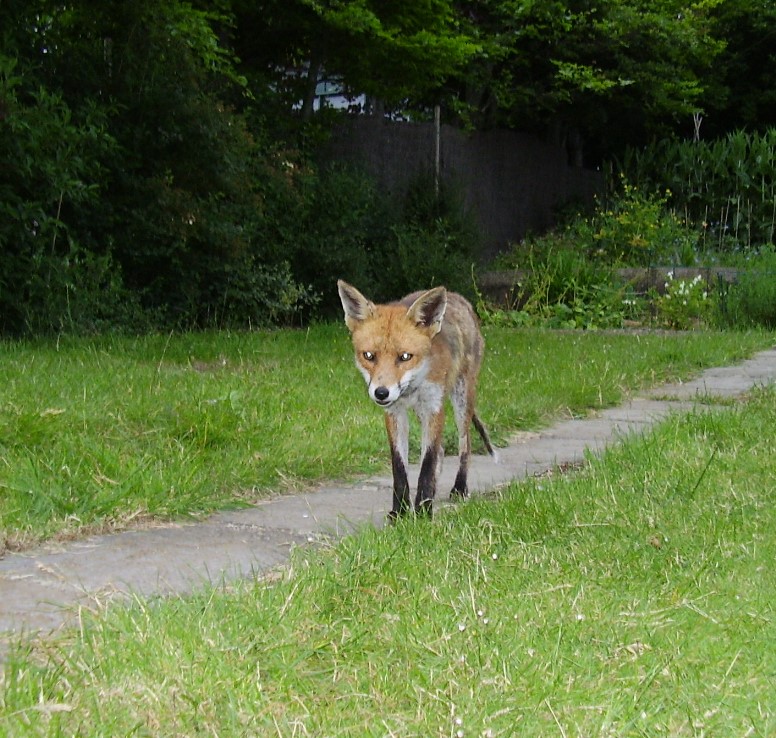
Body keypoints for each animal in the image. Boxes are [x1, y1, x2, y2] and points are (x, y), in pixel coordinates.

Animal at [336, 278, 494, 516]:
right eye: (369, 356)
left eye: (405, 357)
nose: (381, 392)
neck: (412, 388)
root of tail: (459, 298)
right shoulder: (395, 413)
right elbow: (400, 467)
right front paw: (400, 512)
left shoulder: (434, 408)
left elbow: (427, 463)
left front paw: (423, 512)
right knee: (440, 450)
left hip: (462, 398)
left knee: (464, 443)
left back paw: (459, 488)